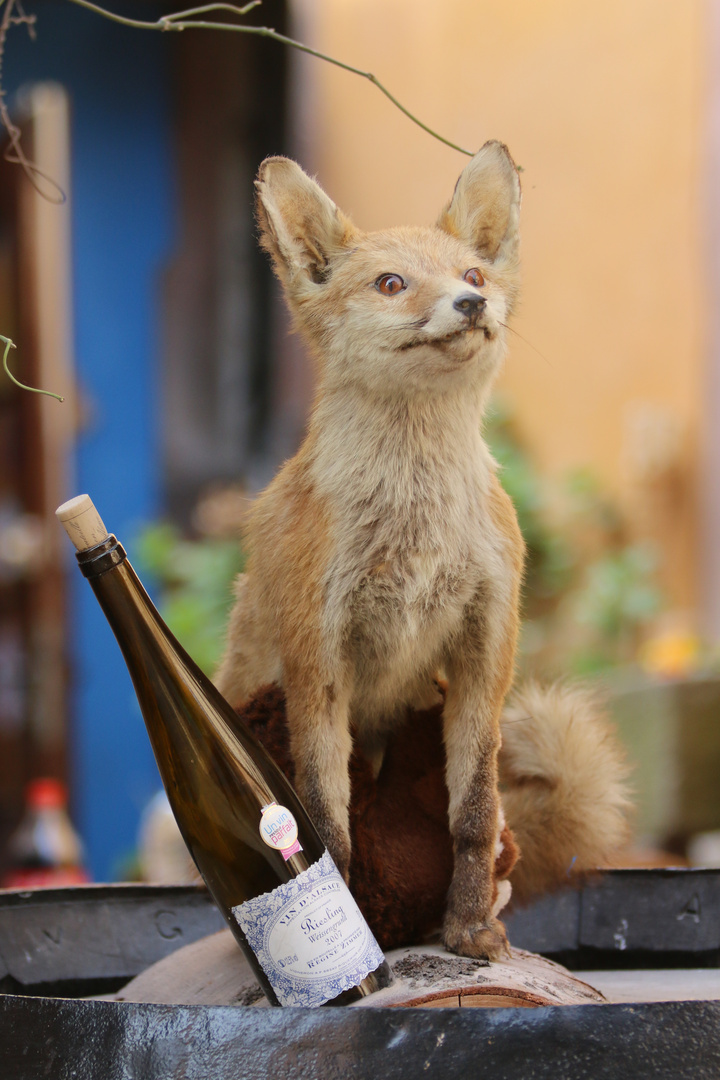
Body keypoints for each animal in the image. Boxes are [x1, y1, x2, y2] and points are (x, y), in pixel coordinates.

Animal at [215, 143, 630, 963]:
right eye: (391, 283)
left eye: (472, 274)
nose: (472, 305)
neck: (415, 536)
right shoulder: (319, 663)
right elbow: (327, 827)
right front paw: (350, 940)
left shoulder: (486, 649)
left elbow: (472, 815)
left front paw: (468, 928)